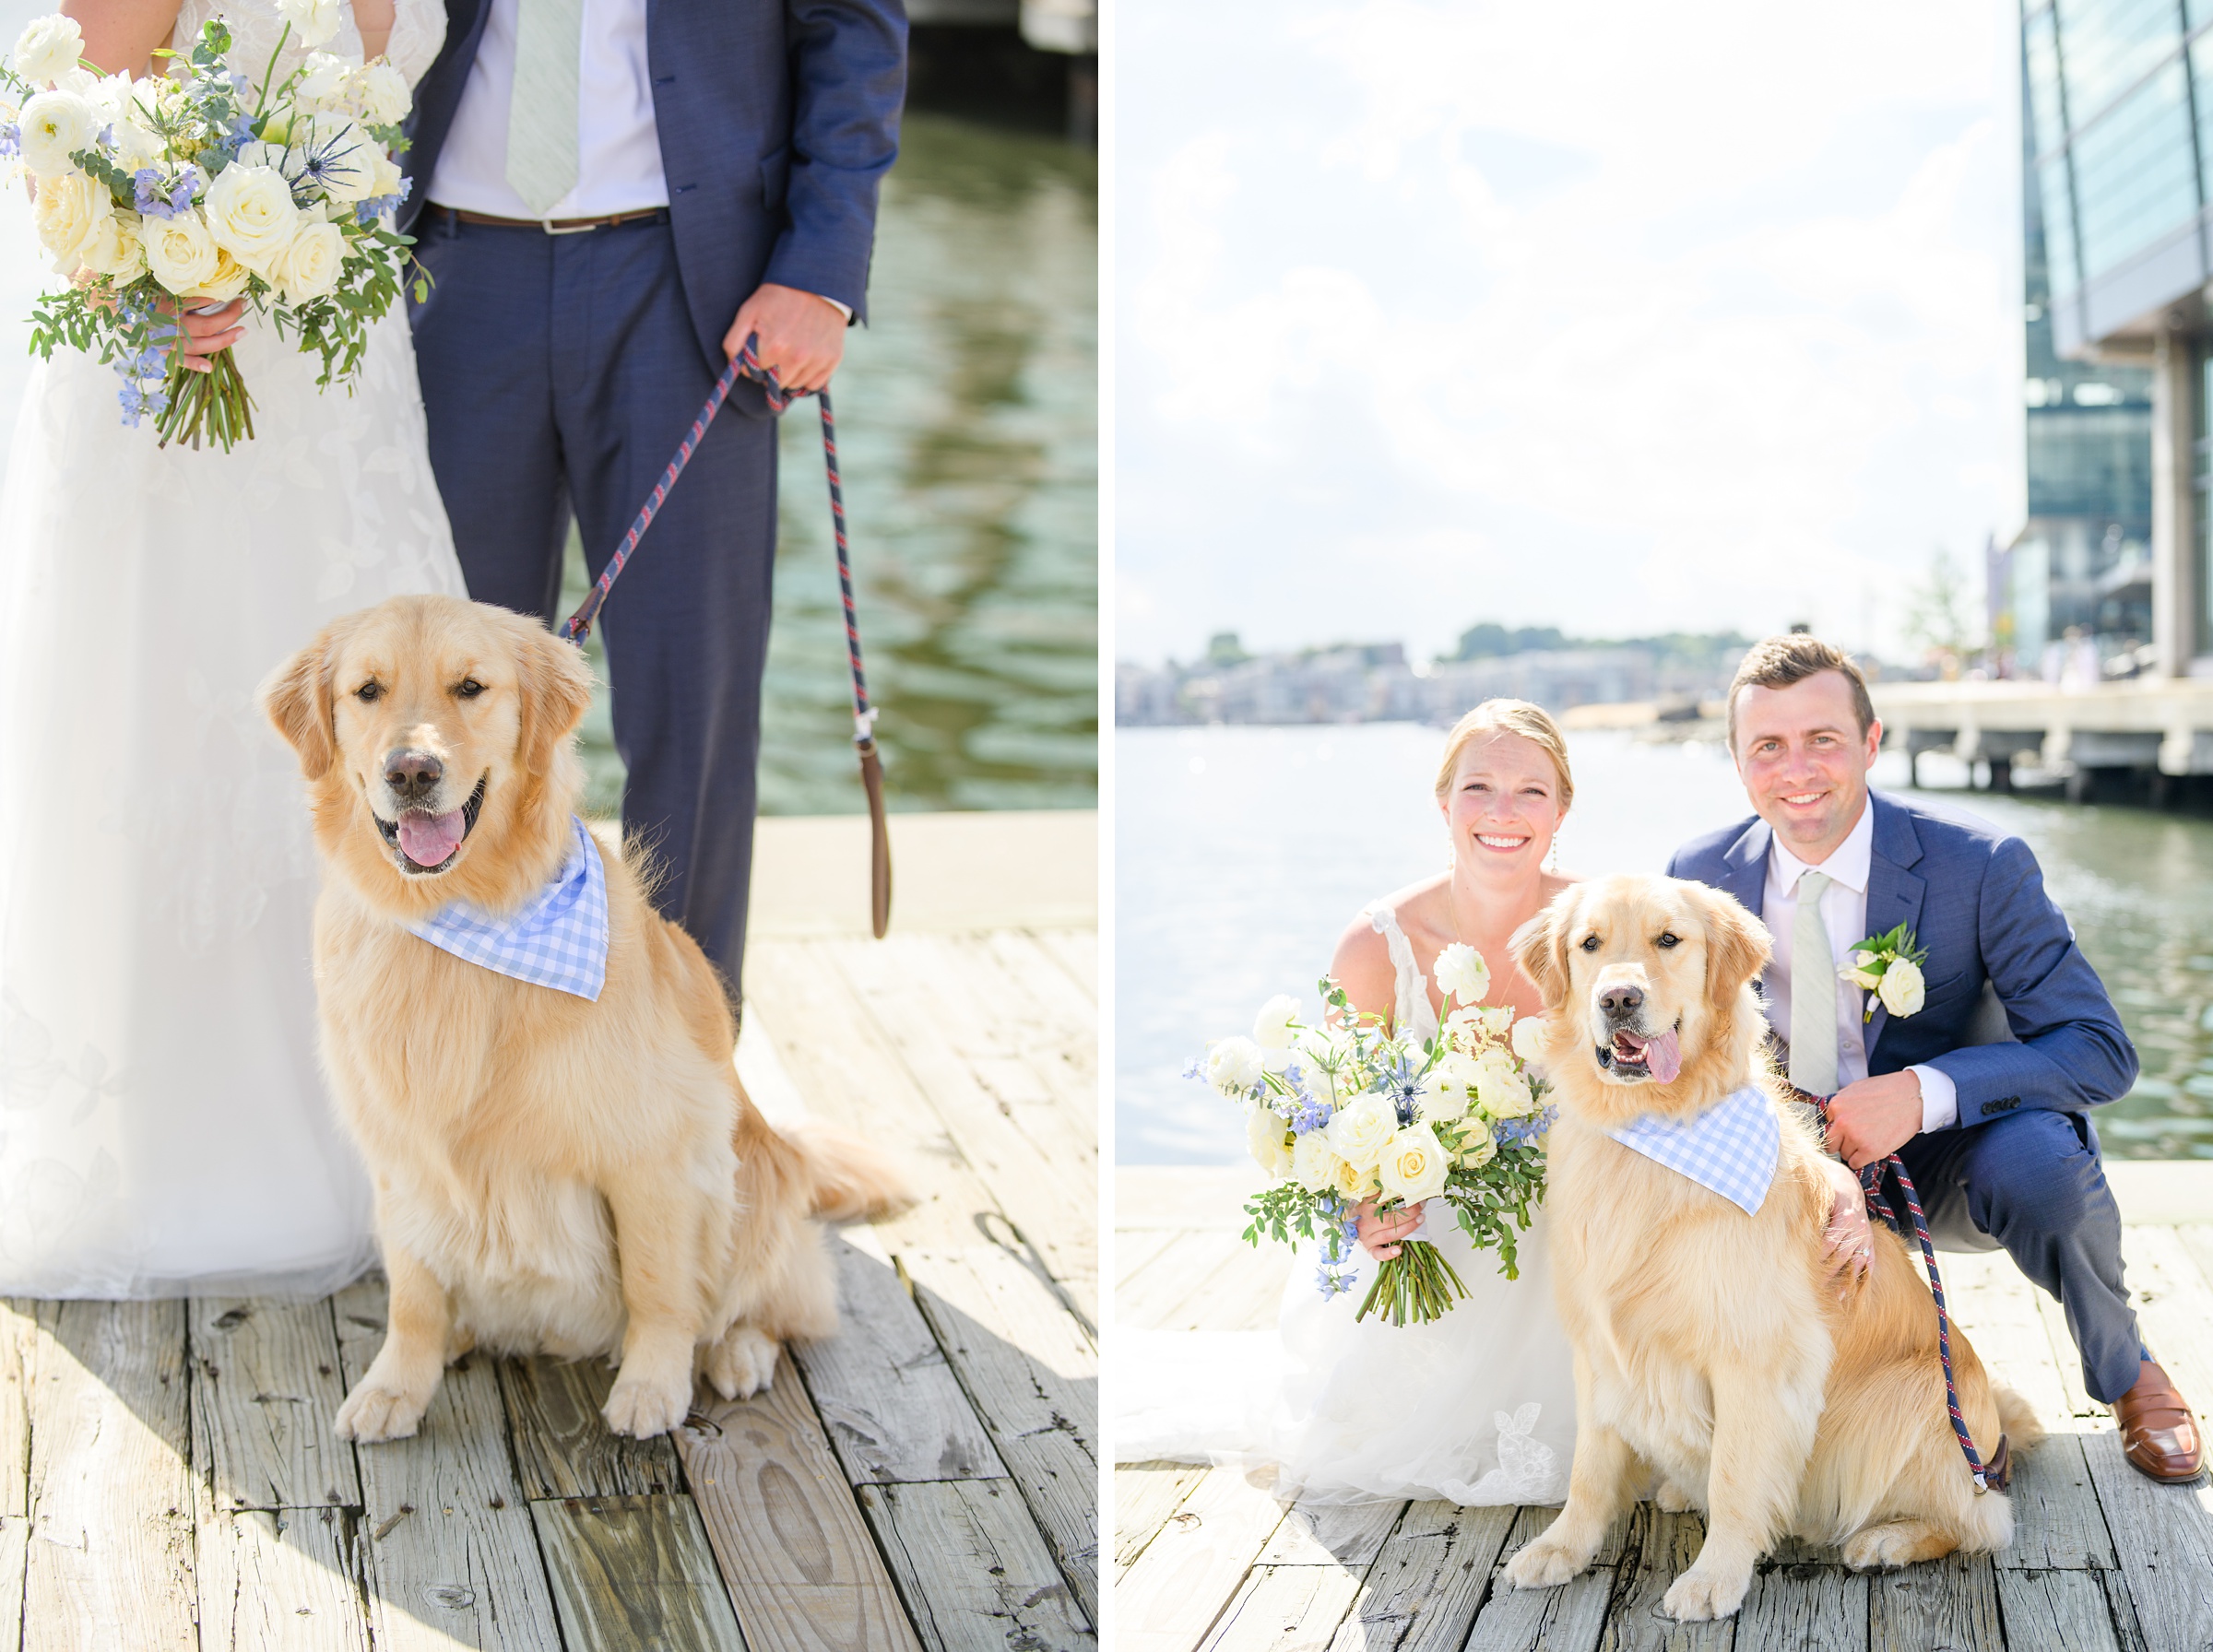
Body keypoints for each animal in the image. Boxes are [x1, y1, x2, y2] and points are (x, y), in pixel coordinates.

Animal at [261, 596, 907, 1450]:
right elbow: (414, 1292)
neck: (459, 925)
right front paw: (396, 1385)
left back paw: (736, 1352)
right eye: (368, 691)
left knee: (774, 1300)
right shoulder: (400, 1151)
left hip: (758, 1179)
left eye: (471, 687)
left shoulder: (655, 1150)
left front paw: (652, 1385)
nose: (412, 772)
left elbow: (659, 1283)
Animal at [1496, 871, 2027, 1619]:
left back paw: (1888, 1539)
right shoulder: (1600, 1343)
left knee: (1980, 1520)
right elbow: (1590, 1466)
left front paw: (1713, 1578)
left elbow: (1736, 1476)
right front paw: (1561, 1547)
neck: (1652, 1132)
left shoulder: (1757, 1356)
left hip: (1912, 1396)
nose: (1618, 998)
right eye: (1590, 944)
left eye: (1669, 939)